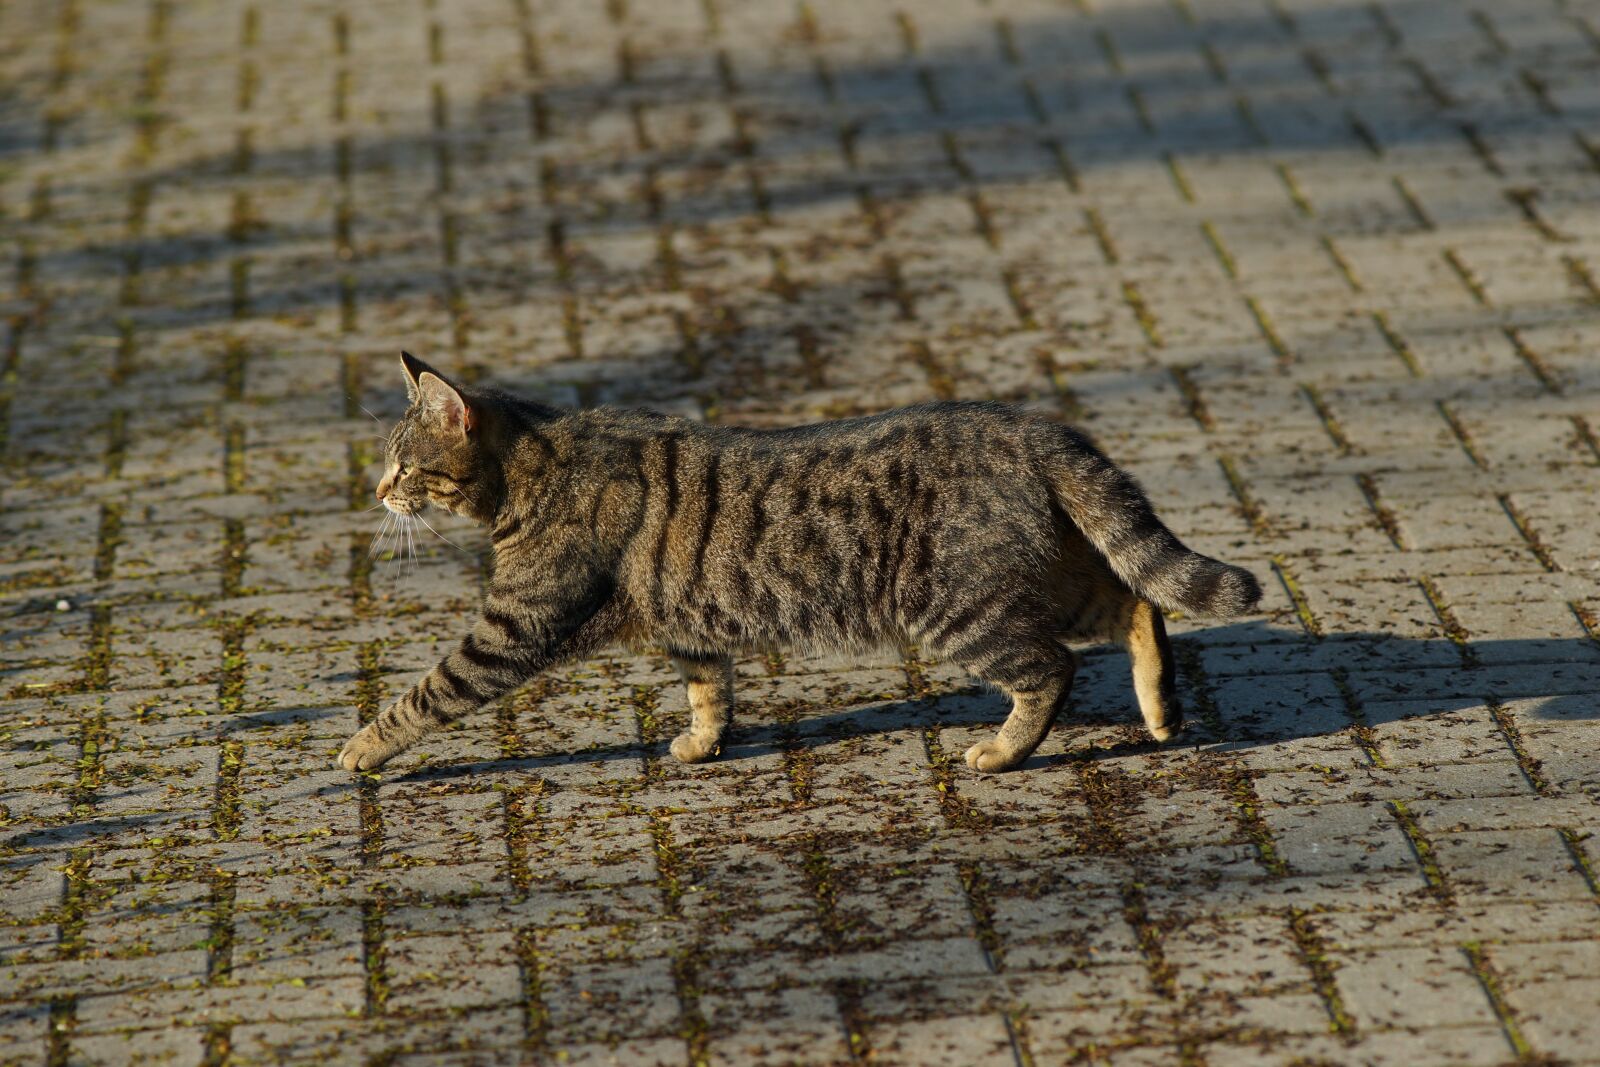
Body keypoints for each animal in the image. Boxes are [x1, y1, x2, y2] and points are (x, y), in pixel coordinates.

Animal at [340, 350, 1260, 777]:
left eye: (405, 464)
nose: (376, 489)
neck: (534, 465)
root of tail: (1031, 426)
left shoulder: (515, 623)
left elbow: (429, 690)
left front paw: (361, 746)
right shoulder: (688, 623)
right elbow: (708, 685)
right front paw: (703, 741)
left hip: (964, 608)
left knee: (1052, 669)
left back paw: (1002, 752)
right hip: (1043, 578)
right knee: (1139, 604)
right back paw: (1161, 710)